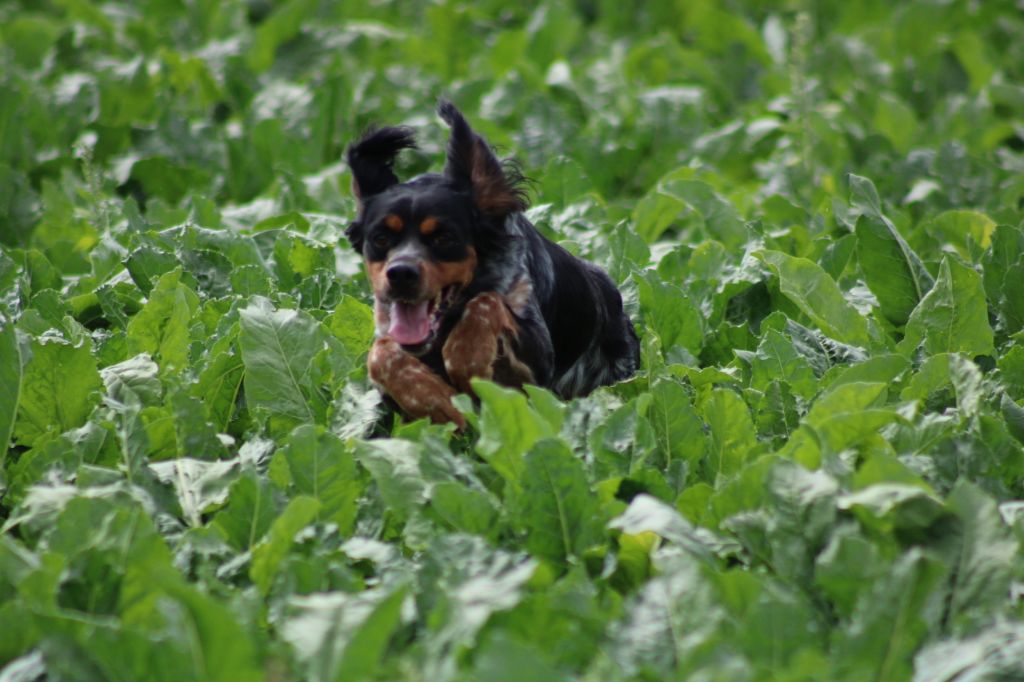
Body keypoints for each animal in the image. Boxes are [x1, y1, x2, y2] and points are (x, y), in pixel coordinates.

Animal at [344, 100, 634, 425]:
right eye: (380, 238)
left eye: (444, 238)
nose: (401, 274)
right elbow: (381, 352)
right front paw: (432, 398)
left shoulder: (539, 362)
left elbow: (485, 303)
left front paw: (467, 360)